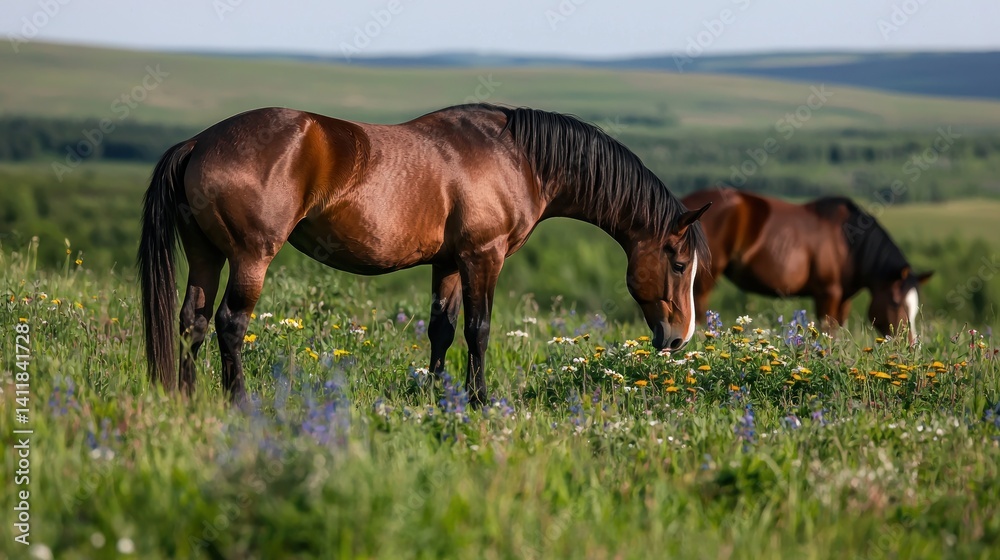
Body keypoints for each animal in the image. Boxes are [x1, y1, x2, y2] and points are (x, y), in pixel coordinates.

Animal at [139, 103, 711, 406]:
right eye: (679, 264)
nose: (678, 339)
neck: (516, 156)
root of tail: (198, 143)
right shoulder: (483, 257)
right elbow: (479, 330)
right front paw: (478, 400)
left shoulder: (448, 263)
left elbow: (442, 329)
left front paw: (437, 394)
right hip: (250, 257)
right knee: (229, 323)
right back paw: (239, 402)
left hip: (207, 255)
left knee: (192, 320)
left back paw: (184, 396)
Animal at [681, 188, 932, 342]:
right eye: (896, 302)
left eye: (915, 305)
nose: (910, 344)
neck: (849, 244)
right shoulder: (827, 295)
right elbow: (827, 331)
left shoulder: (843, 300)